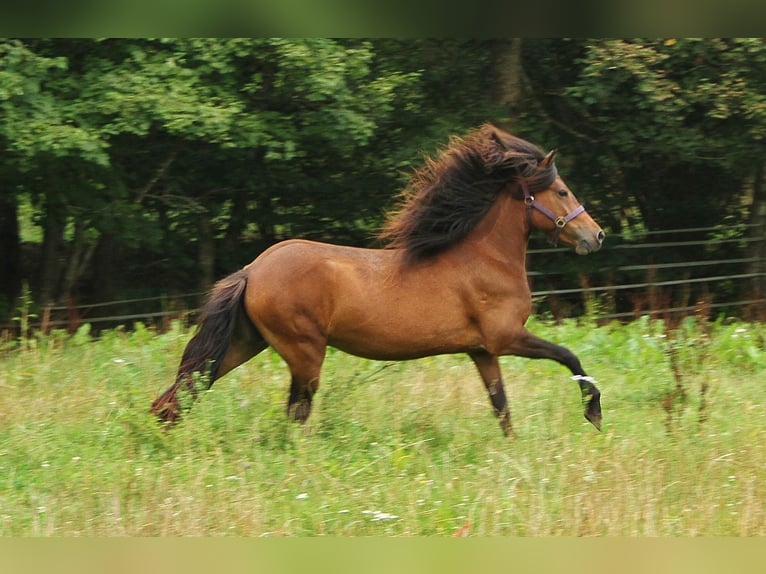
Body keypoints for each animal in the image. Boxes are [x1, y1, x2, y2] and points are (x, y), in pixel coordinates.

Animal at [150, 122, 608, 436]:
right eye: (562, 191)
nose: (597, 236)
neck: (484, 259)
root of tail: (252, 270)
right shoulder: (507, 337)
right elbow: (571, 358)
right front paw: (594, 414)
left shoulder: (482, 352)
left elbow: (502, 407)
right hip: (304, 353)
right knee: (295, 412)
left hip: (246, 343)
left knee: (183, 392)